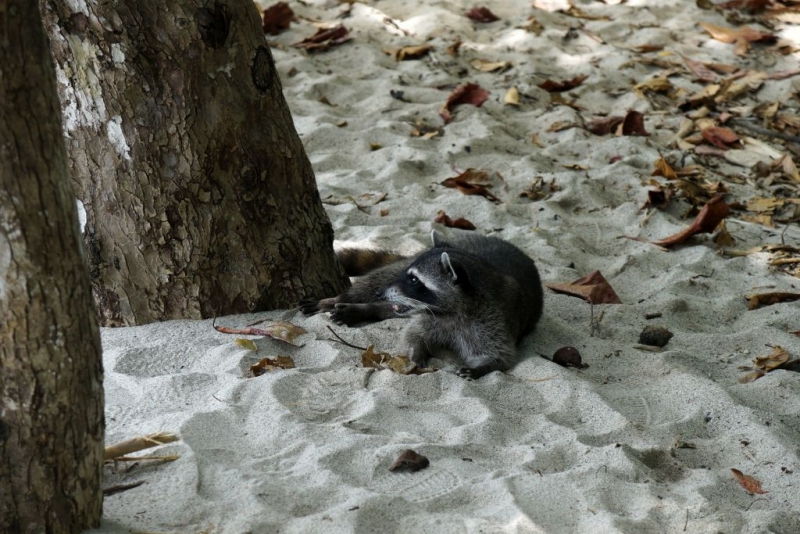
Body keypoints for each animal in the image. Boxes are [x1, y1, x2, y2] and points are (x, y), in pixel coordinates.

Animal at [300, 232, 544, 378]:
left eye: (414, 280)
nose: (381, 293)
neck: (450, 311)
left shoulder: (493, 320)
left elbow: (502, 355)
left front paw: (482, 367)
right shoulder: (428, 315)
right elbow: (414, 334)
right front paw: (415, 354)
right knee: (377, 279)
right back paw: (343, 299)